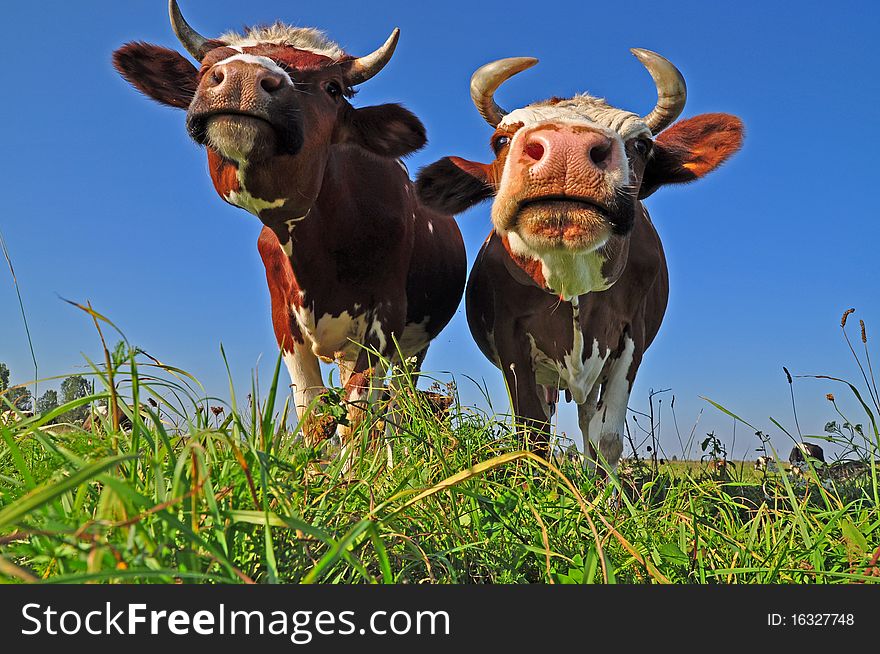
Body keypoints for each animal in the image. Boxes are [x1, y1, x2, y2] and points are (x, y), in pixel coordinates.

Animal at [112, 0, 464, 448]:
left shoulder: (385, 322)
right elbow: (314, 414)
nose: (242, 76)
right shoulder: (286, 321)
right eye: (207, 66)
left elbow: (359, 418)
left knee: (398, 408)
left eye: (333, 88)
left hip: (414, 346)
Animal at [420, 51, 744, 472]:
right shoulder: (511, 338)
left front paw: (604, 492)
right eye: (501, 140)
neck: (571, 278)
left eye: (641, 145)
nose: (566, 149)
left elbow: (606, 438)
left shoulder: (630, 336)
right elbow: (533, 433)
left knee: (589, 421)